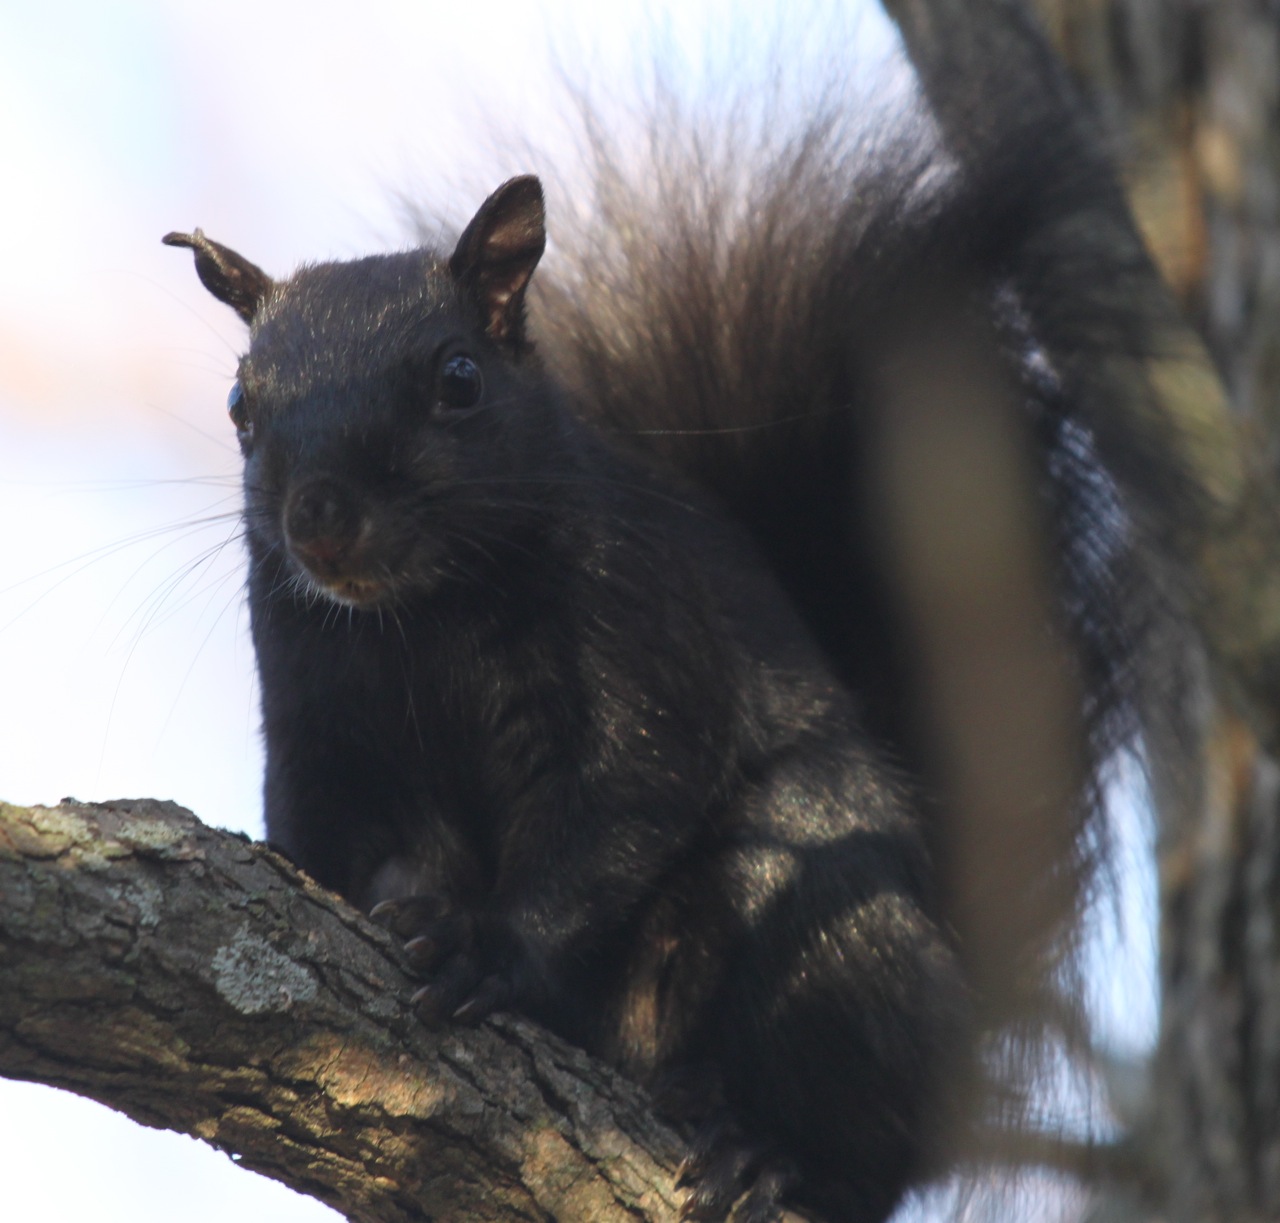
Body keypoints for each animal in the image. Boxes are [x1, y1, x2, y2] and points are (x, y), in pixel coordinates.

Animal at [163, 15, 1201, 1223]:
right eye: (240, 401)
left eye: (459, 378)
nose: (320, 520)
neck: (422, 620)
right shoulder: (309, 699)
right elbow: (316, 831)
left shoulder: (643, 630)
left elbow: (618, 804)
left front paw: (483, 946)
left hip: (821, 904)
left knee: (869, 1138)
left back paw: (774, 1151)